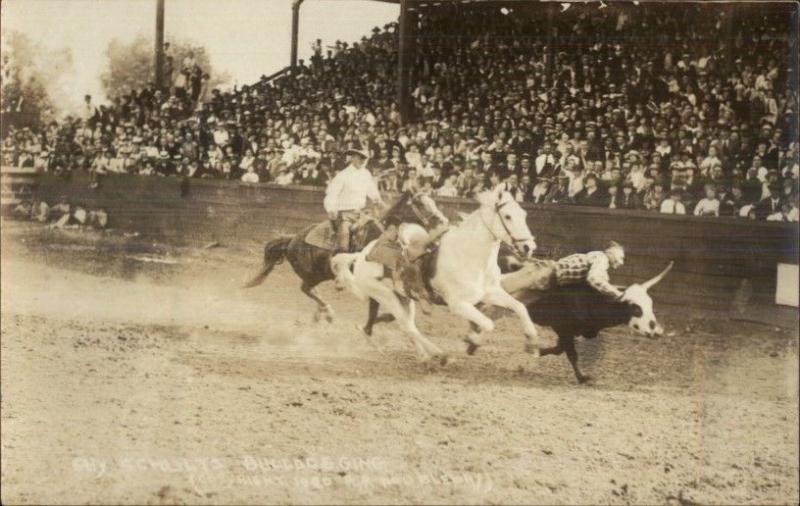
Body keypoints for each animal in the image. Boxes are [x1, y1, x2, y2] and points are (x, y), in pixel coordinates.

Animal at [332, 188, 544, 362]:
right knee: (408, 327)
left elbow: (519, 307)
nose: (529, 247)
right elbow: (488, 323)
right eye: (507, 216)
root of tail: (362, 255)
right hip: (386, 296)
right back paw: (439, 354)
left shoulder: (490, 292)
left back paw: (425, 356)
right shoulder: (458, 305)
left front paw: (531, 341)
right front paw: (473, 340)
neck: (470, 257)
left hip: (404, 298)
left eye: (523, 214)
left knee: (407, 326)